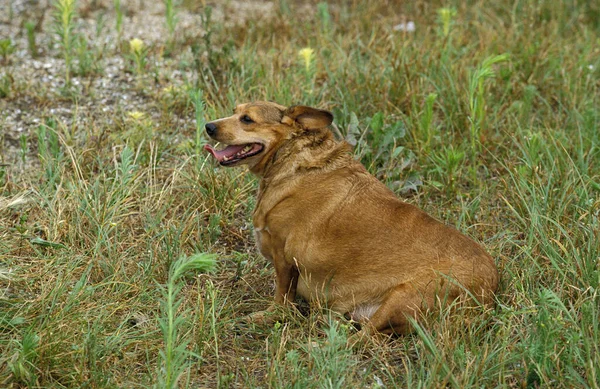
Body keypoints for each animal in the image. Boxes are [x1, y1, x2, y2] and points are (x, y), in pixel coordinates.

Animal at [204, 101, 500, 334]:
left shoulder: (284, 259)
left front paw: (265, 317)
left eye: (247, 119)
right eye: (235, 111)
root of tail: (489, 291)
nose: (208, 126)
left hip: (403, 295)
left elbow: (282, 300)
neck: (294, 162)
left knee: (366, 340)